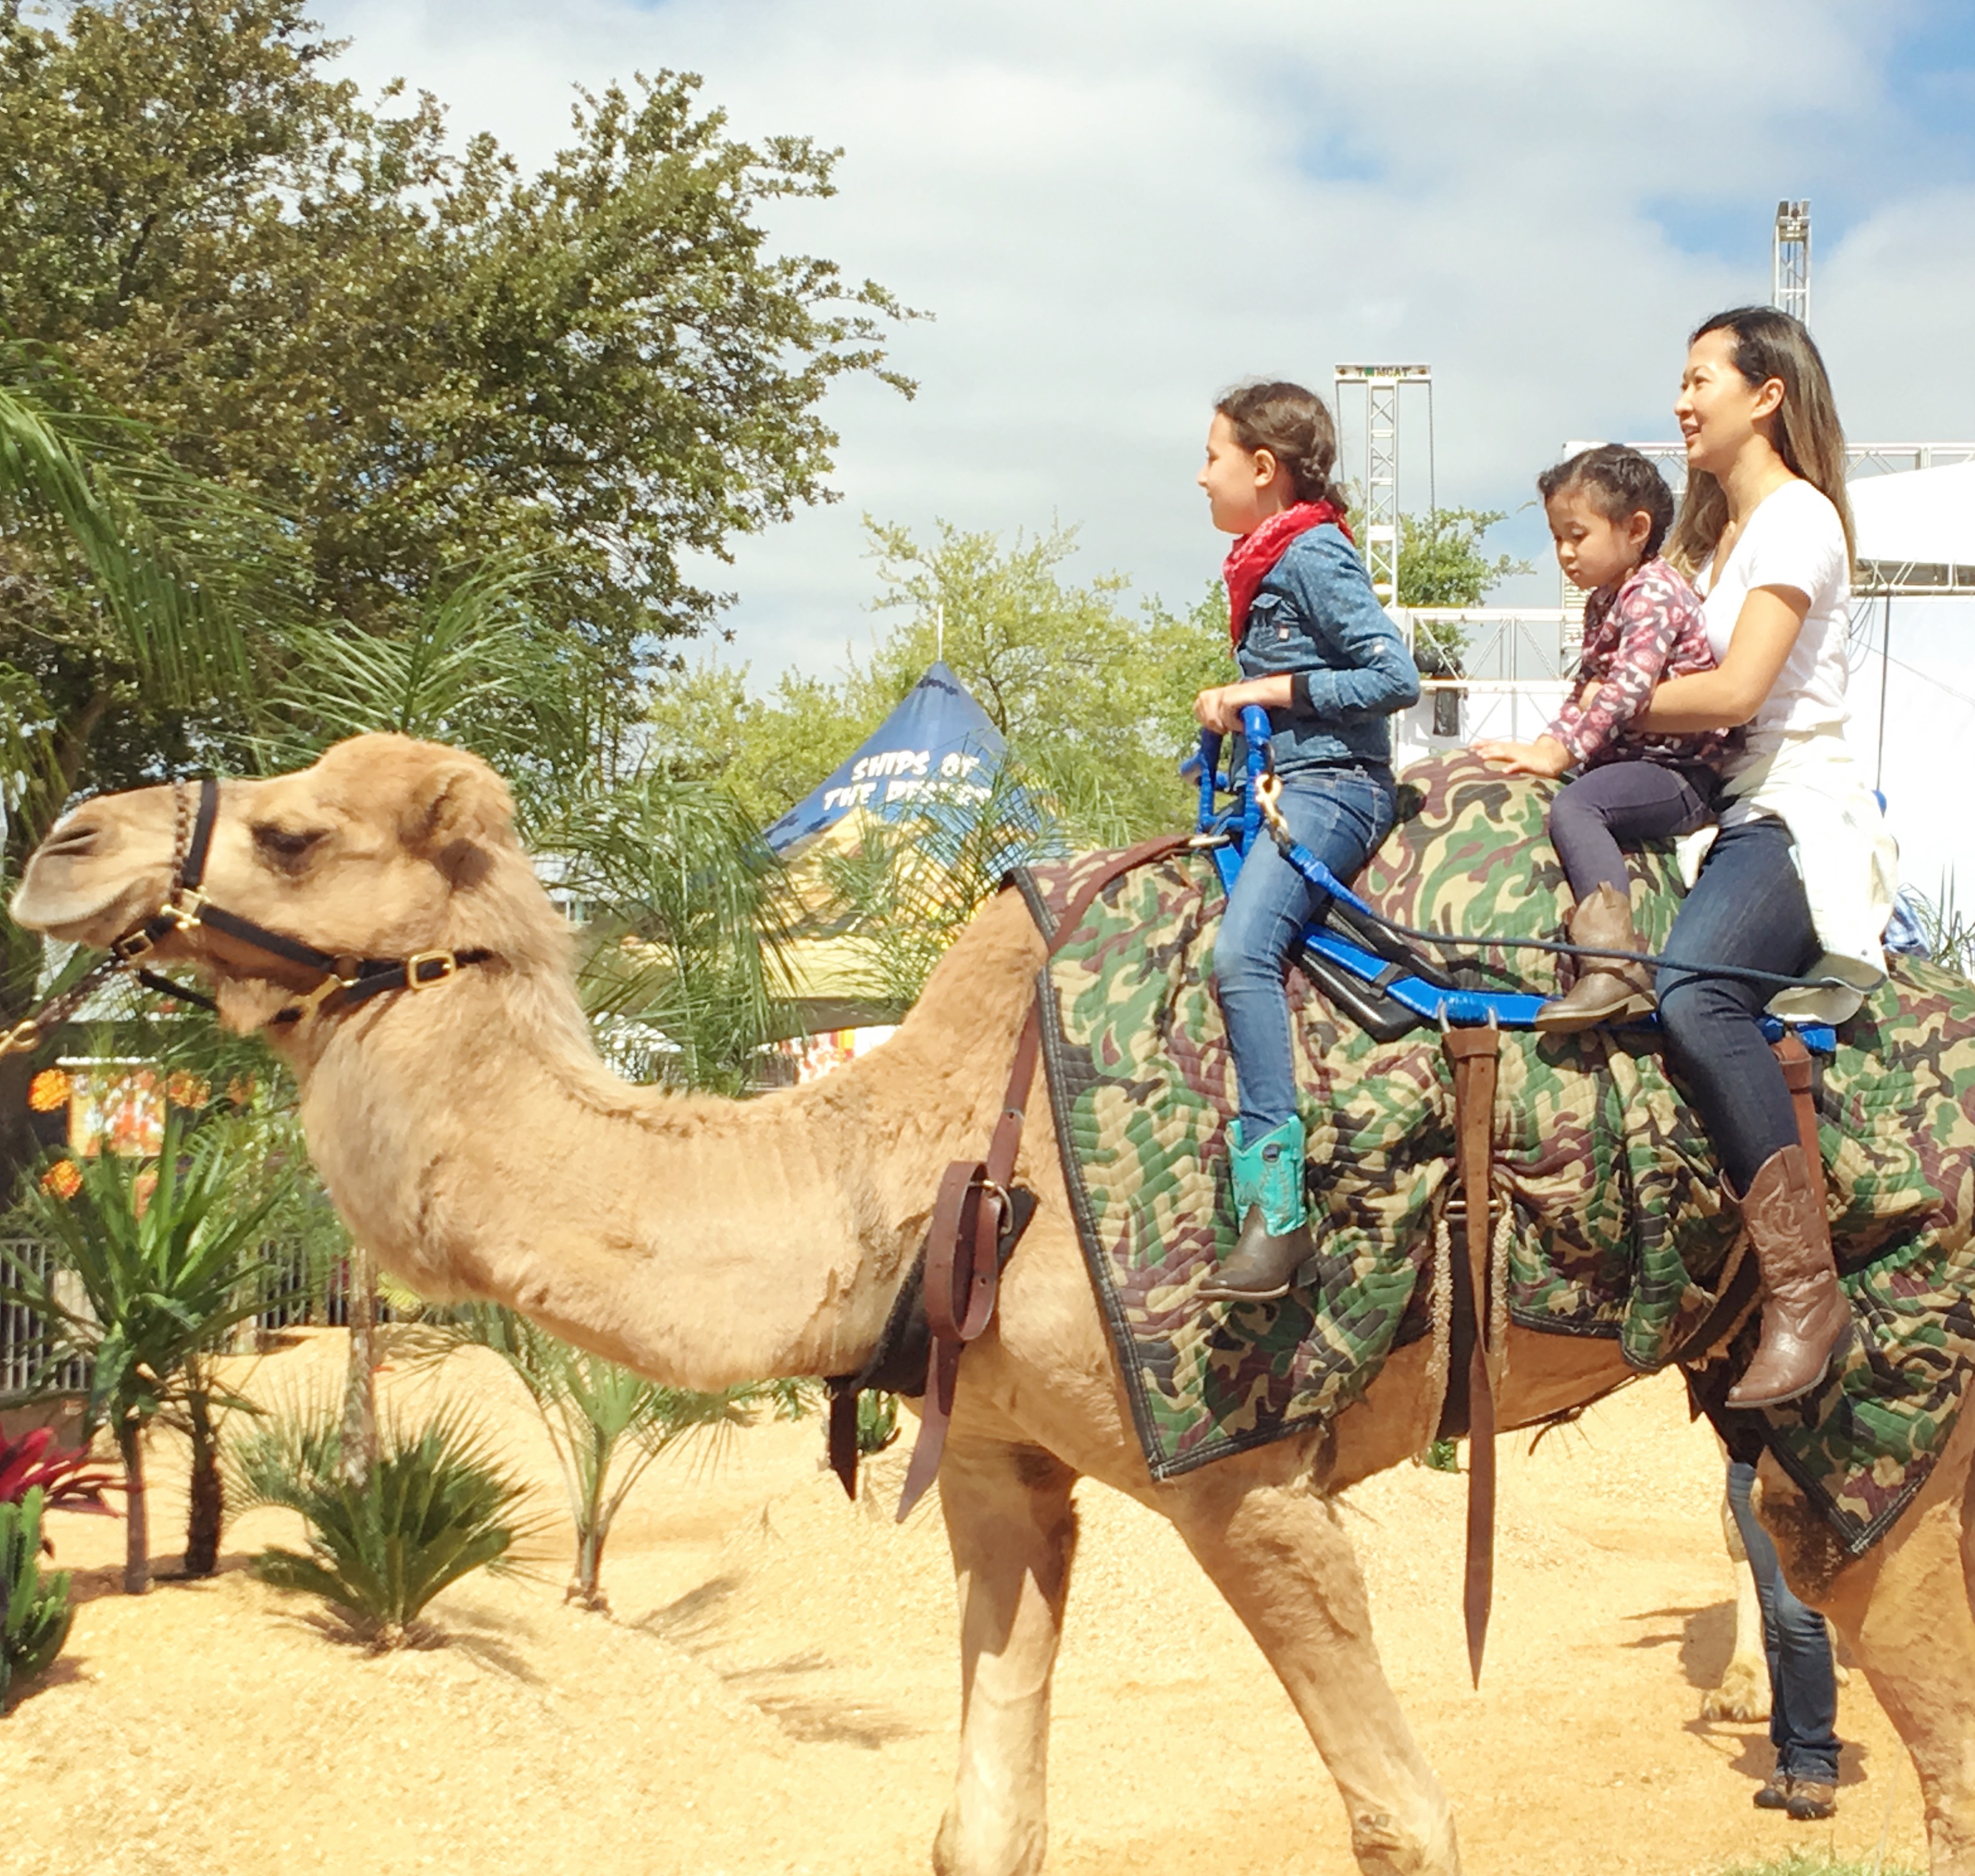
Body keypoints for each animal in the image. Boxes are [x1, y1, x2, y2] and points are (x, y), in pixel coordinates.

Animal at [11, 738, 1975, 1876]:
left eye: (288, 832)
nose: (62, 837)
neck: (921, 1142)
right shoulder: (995, 1471)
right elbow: (982, 1826)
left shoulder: (1238, 1467)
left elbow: (1400, 1817)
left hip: (1888, 1393)